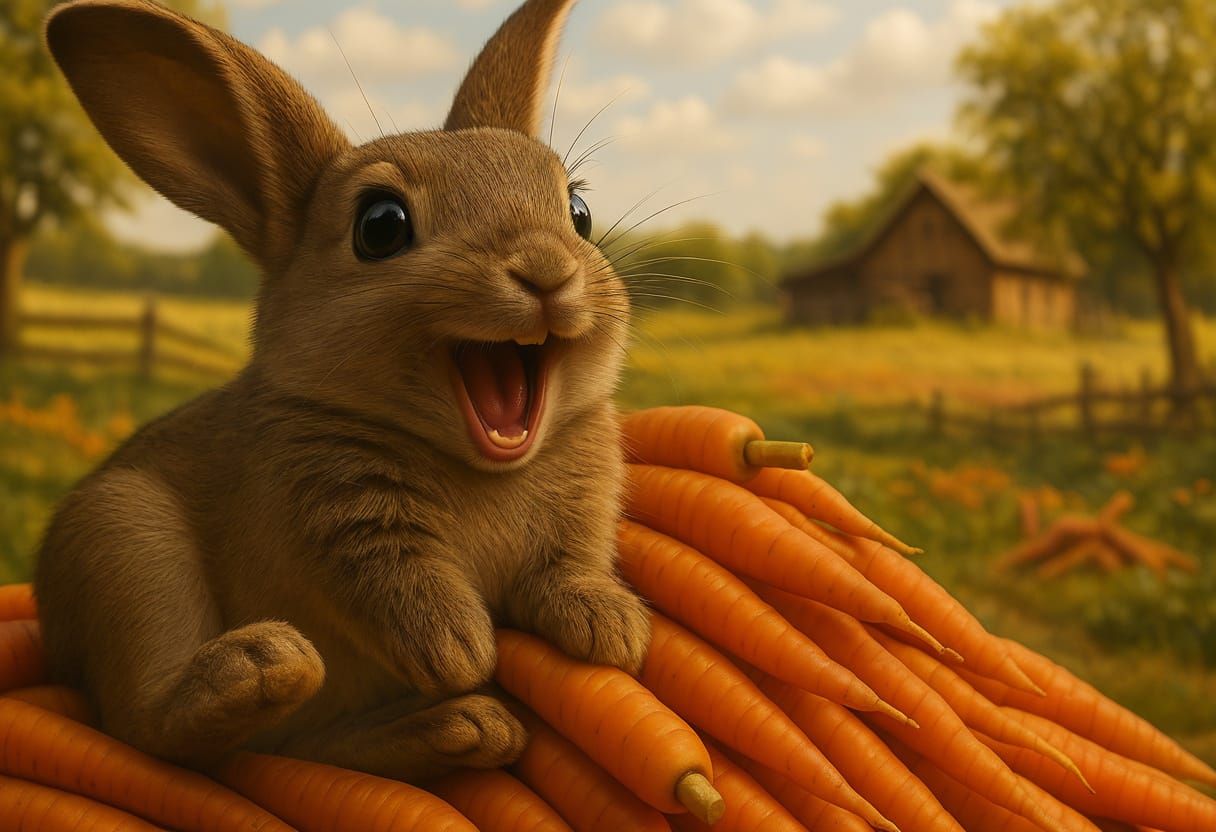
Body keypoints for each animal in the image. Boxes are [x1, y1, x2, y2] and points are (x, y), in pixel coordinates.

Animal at [34, 0, 651, 783]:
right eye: (380, 226)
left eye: (577, 215)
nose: (546, 270)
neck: (482, 465)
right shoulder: (341, 525)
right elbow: (398, 583)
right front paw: (461, 649)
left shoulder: (580, 517)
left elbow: (570, 568)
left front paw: (610, 628)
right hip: (125, 542)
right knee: (153, 730)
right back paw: (263, 667)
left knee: (306, 748)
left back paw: (460, 729)